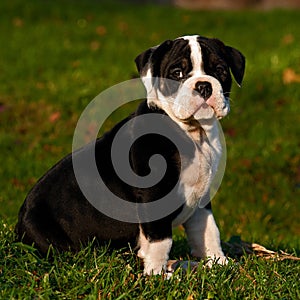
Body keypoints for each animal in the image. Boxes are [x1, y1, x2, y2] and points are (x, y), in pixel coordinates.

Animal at [16, 34, 245, 276]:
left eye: (220, 70)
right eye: (177, 73)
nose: (203, 85)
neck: (193, 134)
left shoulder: (202, 196)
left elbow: (207, 230)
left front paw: (218, 262)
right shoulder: (154, 194)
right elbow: (161, 240)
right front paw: (157, 275)